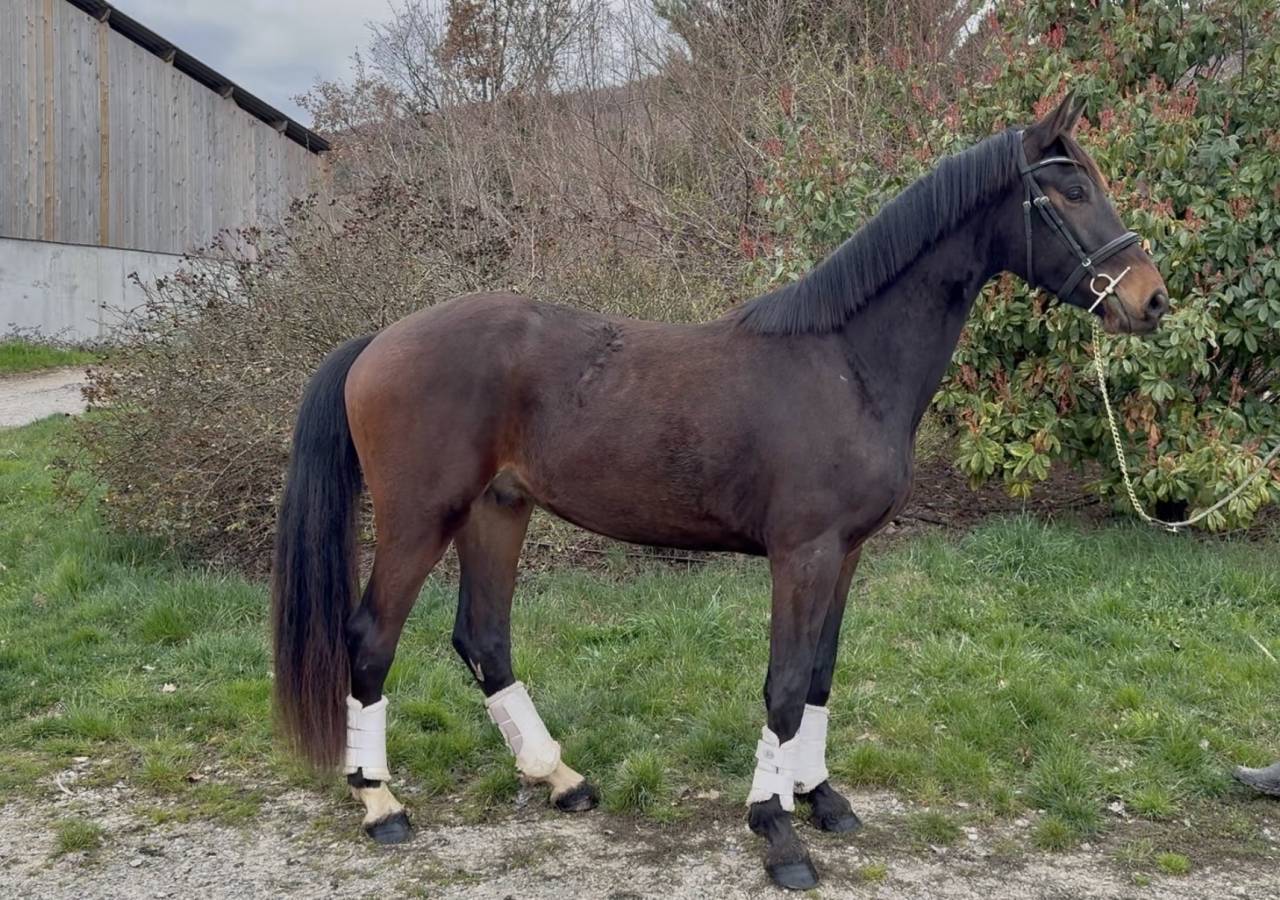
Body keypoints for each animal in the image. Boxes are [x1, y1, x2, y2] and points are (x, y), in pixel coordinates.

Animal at [270, 93, 1169, 890]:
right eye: (1071, 189)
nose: (1150, 299)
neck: (846, 363)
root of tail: (377, 342)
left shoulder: (846, 554)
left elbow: (819, 677)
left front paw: (821, 799)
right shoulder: (802, 555)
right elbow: (783, 686)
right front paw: (777, 831)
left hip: (498, 511)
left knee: (484, 639)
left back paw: (560, 779)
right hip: (420, 519)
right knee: (371, 639)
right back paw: (380, 804)